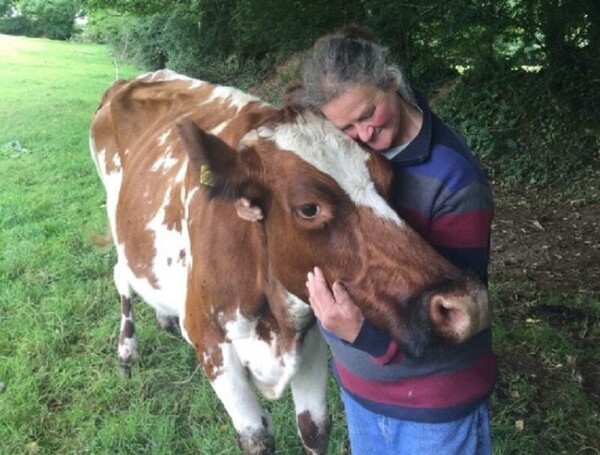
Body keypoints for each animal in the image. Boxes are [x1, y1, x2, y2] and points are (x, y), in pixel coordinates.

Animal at [90, 69, 492, 454]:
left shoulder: (310, 338)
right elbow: (256, 439)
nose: (464, 302)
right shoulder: (212, 345)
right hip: (114, 213)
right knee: (120, 275)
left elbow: (314, 430)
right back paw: (127, 351)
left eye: (389, 179)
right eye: (309, 208)